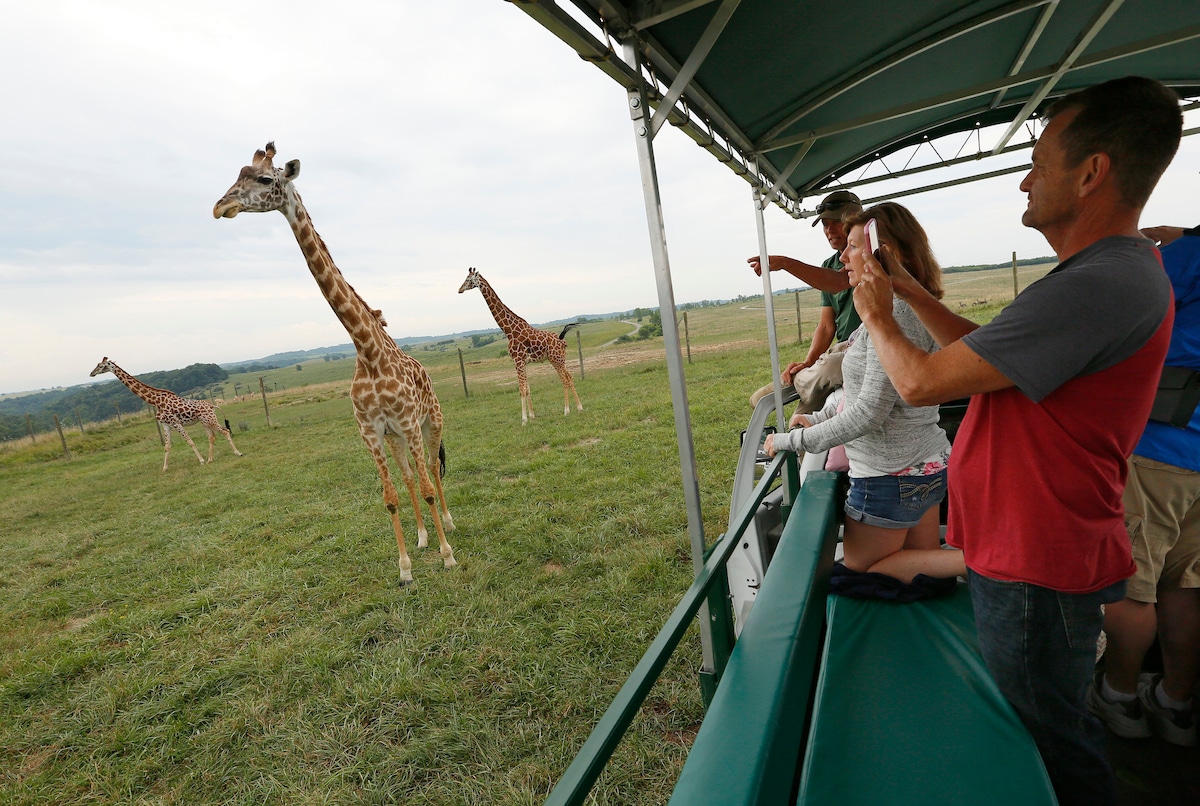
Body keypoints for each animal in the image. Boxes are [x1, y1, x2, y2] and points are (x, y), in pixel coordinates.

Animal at [87, 359, 243, 472]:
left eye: (101, 366)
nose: (91, 373)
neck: (155, 401)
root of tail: (211, 406)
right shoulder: (166, 425)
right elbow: (167, 446)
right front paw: (164, 468)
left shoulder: (175, 423)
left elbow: (190, 441)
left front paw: (201, 461)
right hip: (204, 422)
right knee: (212, 437)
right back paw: (211, 459)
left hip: (210, 419)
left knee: (225, 431)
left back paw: (237, 453)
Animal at [213, 143, 456, 585]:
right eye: (236, 175)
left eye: (265, 179)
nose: (220, 207)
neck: (368, 351)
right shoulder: (371, 433)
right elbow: (390, 497)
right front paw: (405, 566)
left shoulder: (409, 422)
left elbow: (430, 485)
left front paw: (448, 556)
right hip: (397, 437)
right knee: (411, 475)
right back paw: (423, 535)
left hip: (430, 421)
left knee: (431, 467)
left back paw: (447, 522)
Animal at [456, 267, 583, 424]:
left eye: (468, 279)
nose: (459, 290)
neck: (508, 330)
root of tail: (562, 339)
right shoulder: (522, 362)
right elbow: (527, 388)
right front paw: (532, 416)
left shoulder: (517, 360)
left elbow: (521, 389)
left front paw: (524, 420)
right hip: (558, 359)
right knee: (570, 377)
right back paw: (579, 407)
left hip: (556, 359)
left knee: (565, 379)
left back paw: (567, 410)